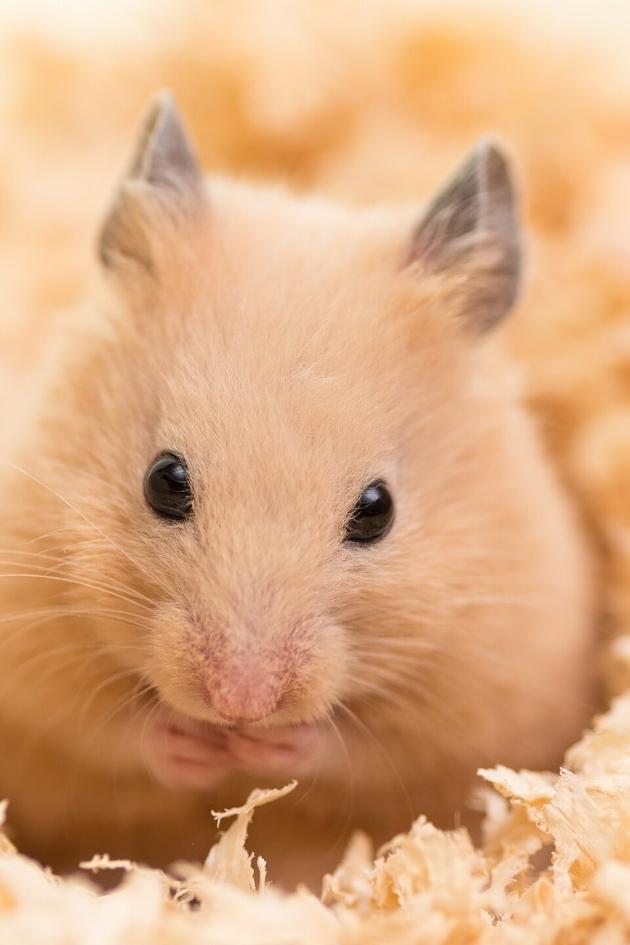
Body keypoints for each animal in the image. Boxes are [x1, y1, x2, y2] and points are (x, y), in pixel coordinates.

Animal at [0, 92, 597, 883]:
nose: (239, 702)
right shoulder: (29, 635)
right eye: (164, 479)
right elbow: (102, 727)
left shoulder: (497, 683)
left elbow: (367, 750)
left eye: (377, 510)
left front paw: (267, 747)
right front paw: (195, 742)